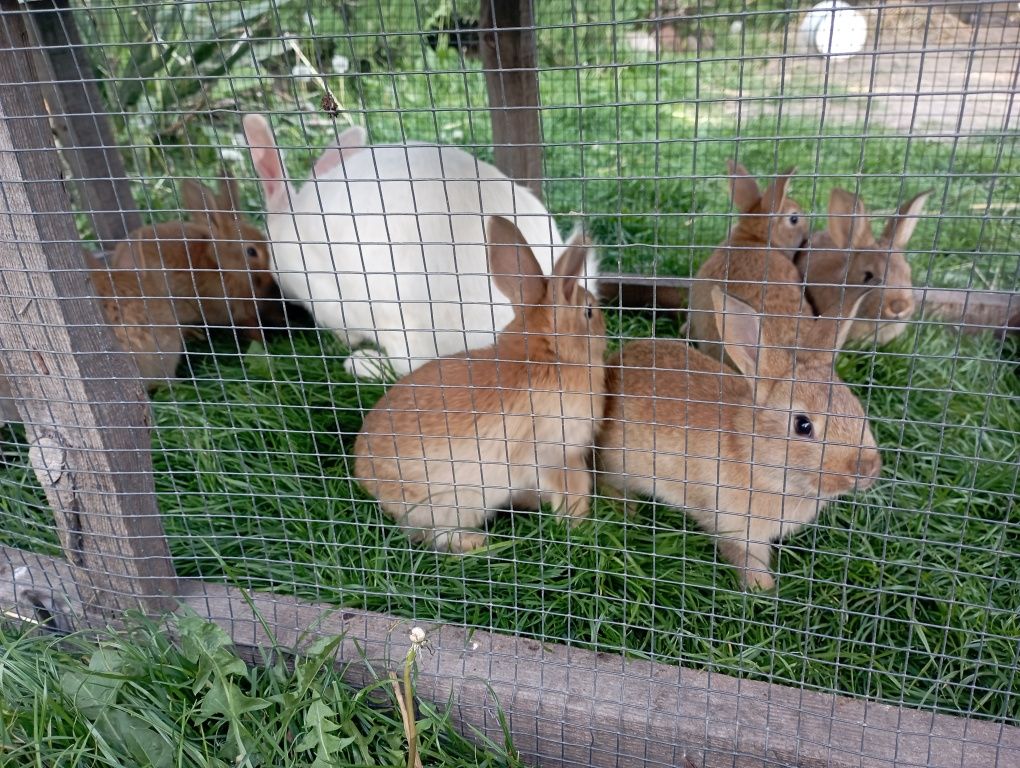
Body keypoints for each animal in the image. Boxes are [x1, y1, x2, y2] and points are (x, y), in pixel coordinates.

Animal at [354, 214, 603, 550]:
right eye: (589, 312)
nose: (605, 328)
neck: (547, 357)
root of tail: (366, 479)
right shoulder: (558, 454)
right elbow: (572, 489)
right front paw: (578, 523)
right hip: (454, 503)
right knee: (439, 537)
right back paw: (480, 543)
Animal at [595, 285, 885, 591]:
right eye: (803, 425)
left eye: (856, 405)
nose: (868, 469)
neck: (755, 457)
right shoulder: (737, 531)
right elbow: (748, 562)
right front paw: (765, 590)